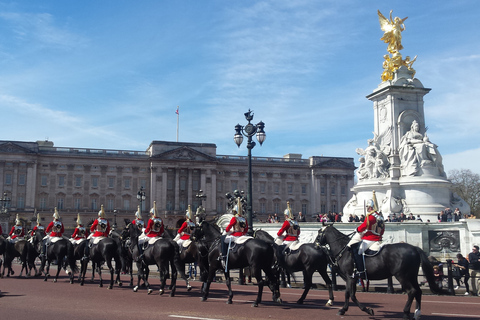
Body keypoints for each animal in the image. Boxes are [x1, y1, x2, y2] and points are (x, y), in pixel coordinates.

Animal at [316, 224, 446, 318]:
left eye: (318, 233)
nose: (315, 245)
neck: (343, 248)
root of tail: (414, 248)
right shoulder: (352, 277)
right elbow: (350, 294)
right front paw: (351, 309)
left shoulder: (350, 277)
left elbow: (350, 294)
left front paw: (362, 310)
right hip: (412, 275)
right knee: (418, 291)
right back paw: (417, 313)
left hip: (402, 276)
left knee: (412, 291)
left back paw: (405, 312)